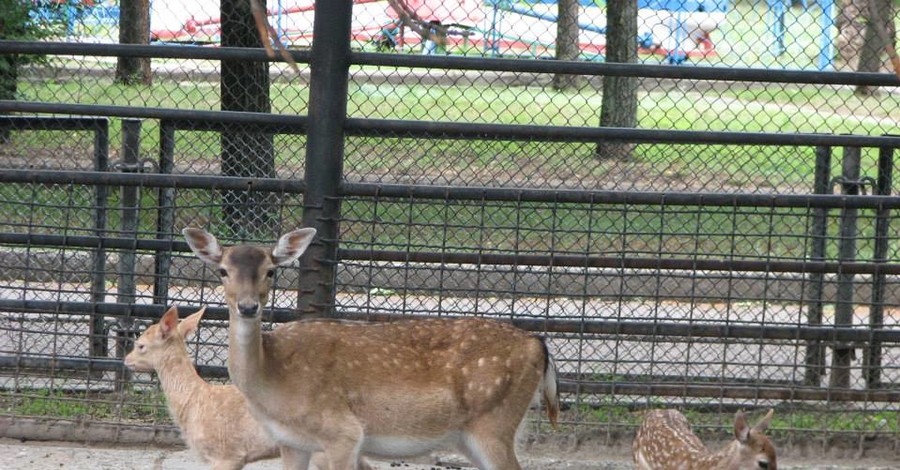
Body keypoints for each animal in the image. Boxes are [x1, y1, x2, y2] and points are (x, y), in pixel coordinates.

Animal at [182, 226, 560, 468]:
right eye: (222, 270)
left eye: (272, 271)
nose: (247, 307)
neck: (273, 381)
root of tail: (538, 345)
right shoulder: (290, 442)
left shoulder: (343, 433)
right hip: (474, 434)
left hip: (495, 422)